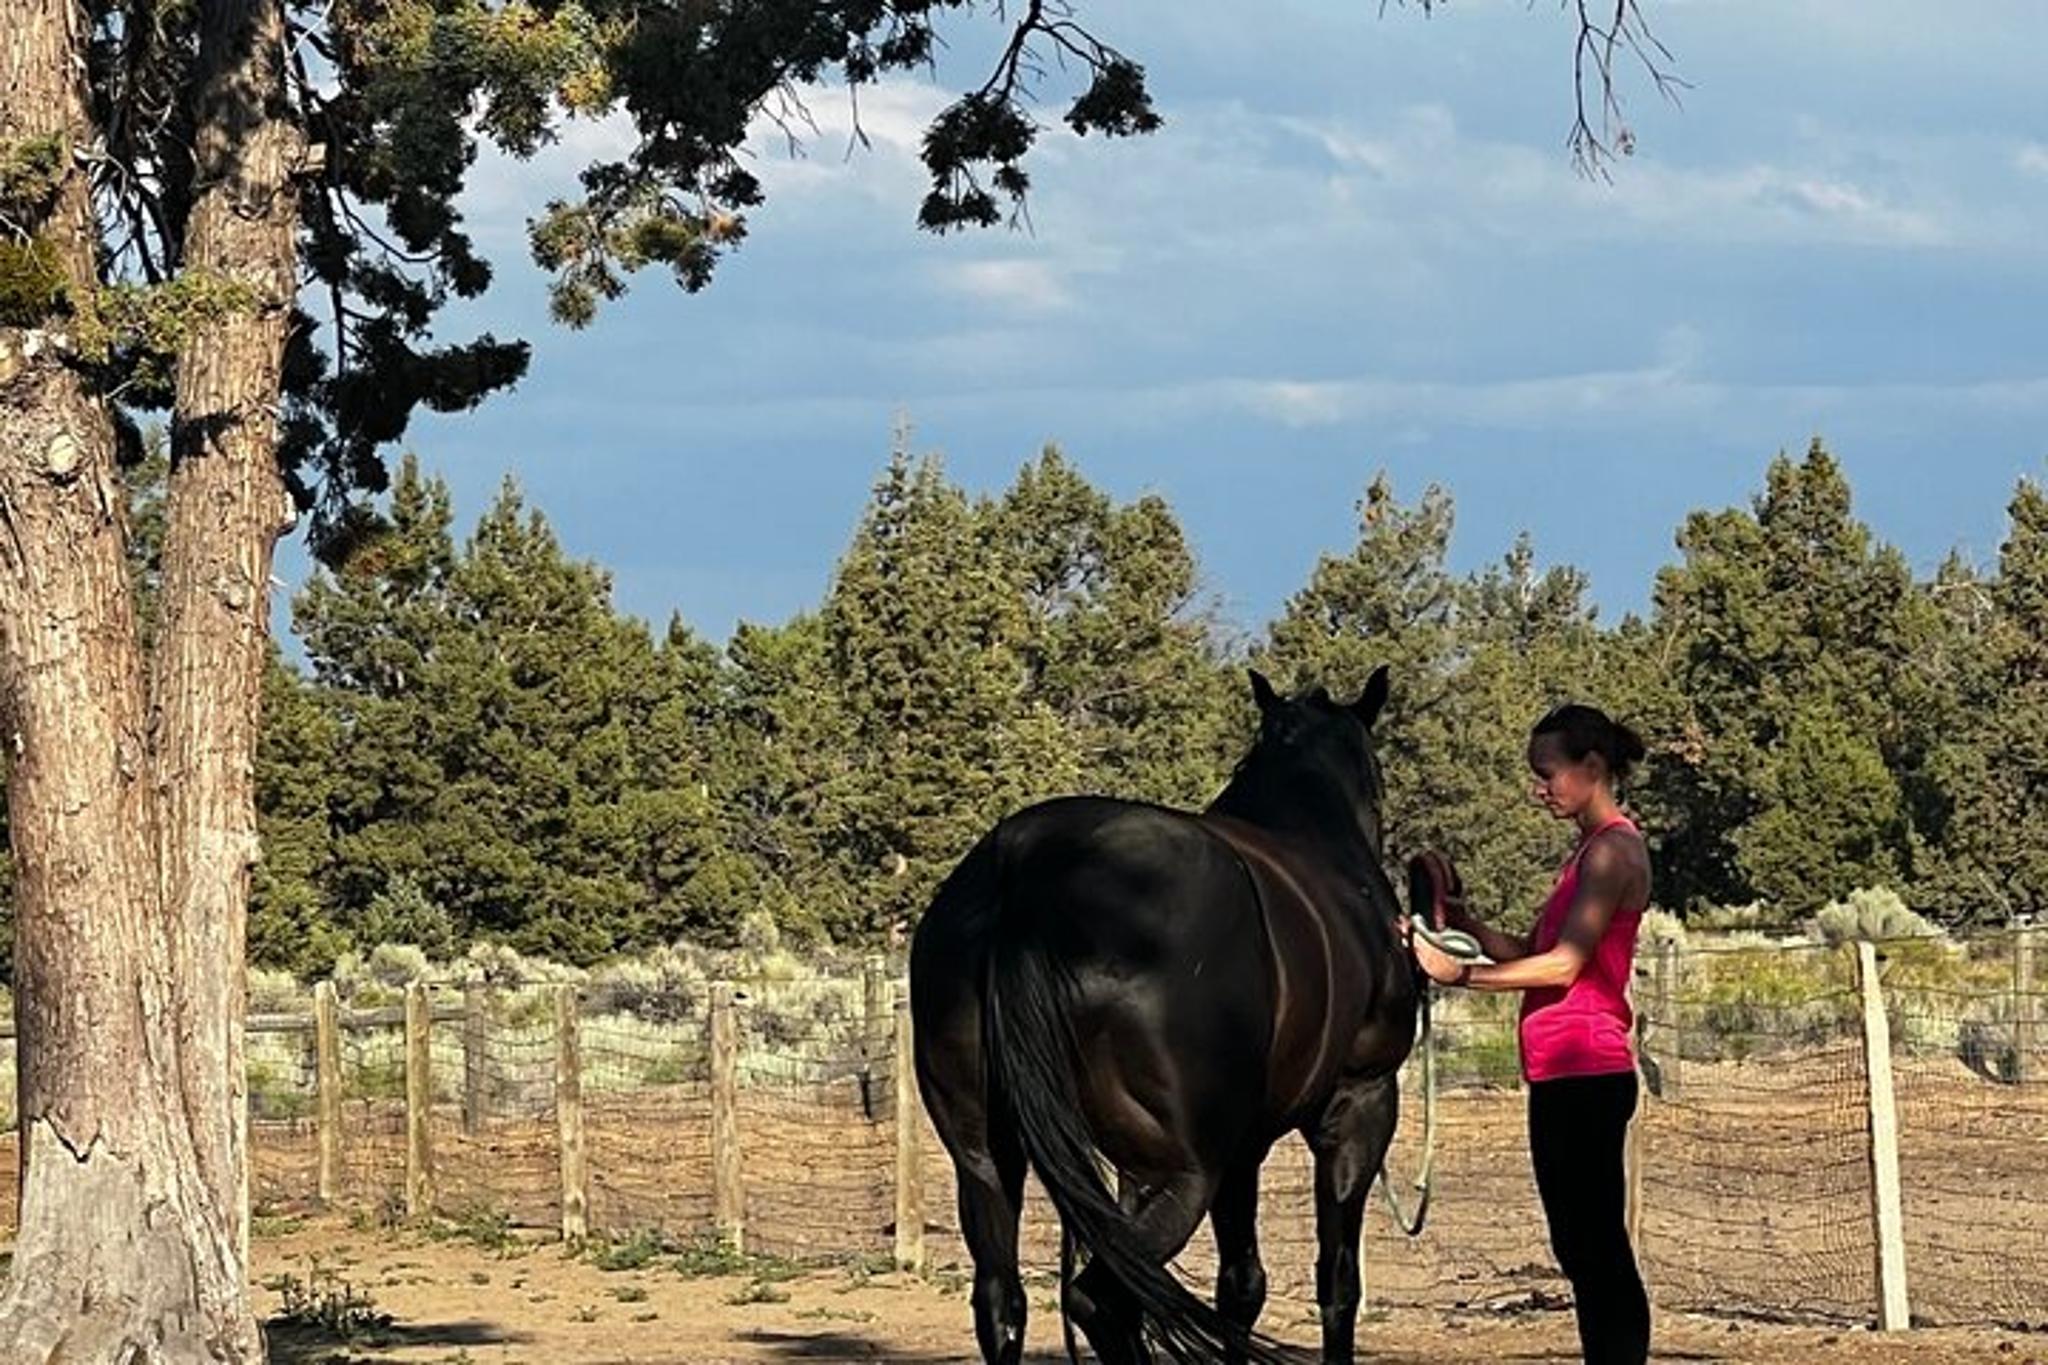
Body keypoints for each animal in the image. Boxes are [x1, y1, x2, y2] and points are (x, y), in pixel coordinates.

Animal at [910, 665, 1422, 1364]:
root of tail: (1029, 870)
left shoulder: (1240, 1148)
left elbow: (1242, 1284)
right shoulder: (1359, 1107)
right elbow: (1336, 1282)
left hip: (986, 1159)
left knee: (1003, 1302)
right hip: (1183, 1172)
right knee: (1102, 1298)